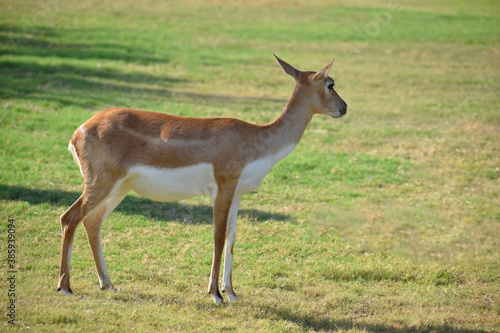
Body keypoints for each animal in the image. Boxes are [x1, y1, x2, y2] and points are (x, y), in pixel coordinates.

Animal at [57, 53, 348, 300]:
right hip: (100, 183)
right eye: (330, 84)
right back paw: (65, 287)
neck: (256, 141)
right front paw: (215, 293)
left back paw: (107, 284)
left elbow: (232, 238)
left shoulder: (237, 194)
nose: (344, 108)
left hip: (119, 188)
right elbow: (218, 236)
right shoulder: (222, 188)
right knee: (69, 217)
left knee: (92, 222)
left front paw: (232, 292)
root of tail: (78, 132)